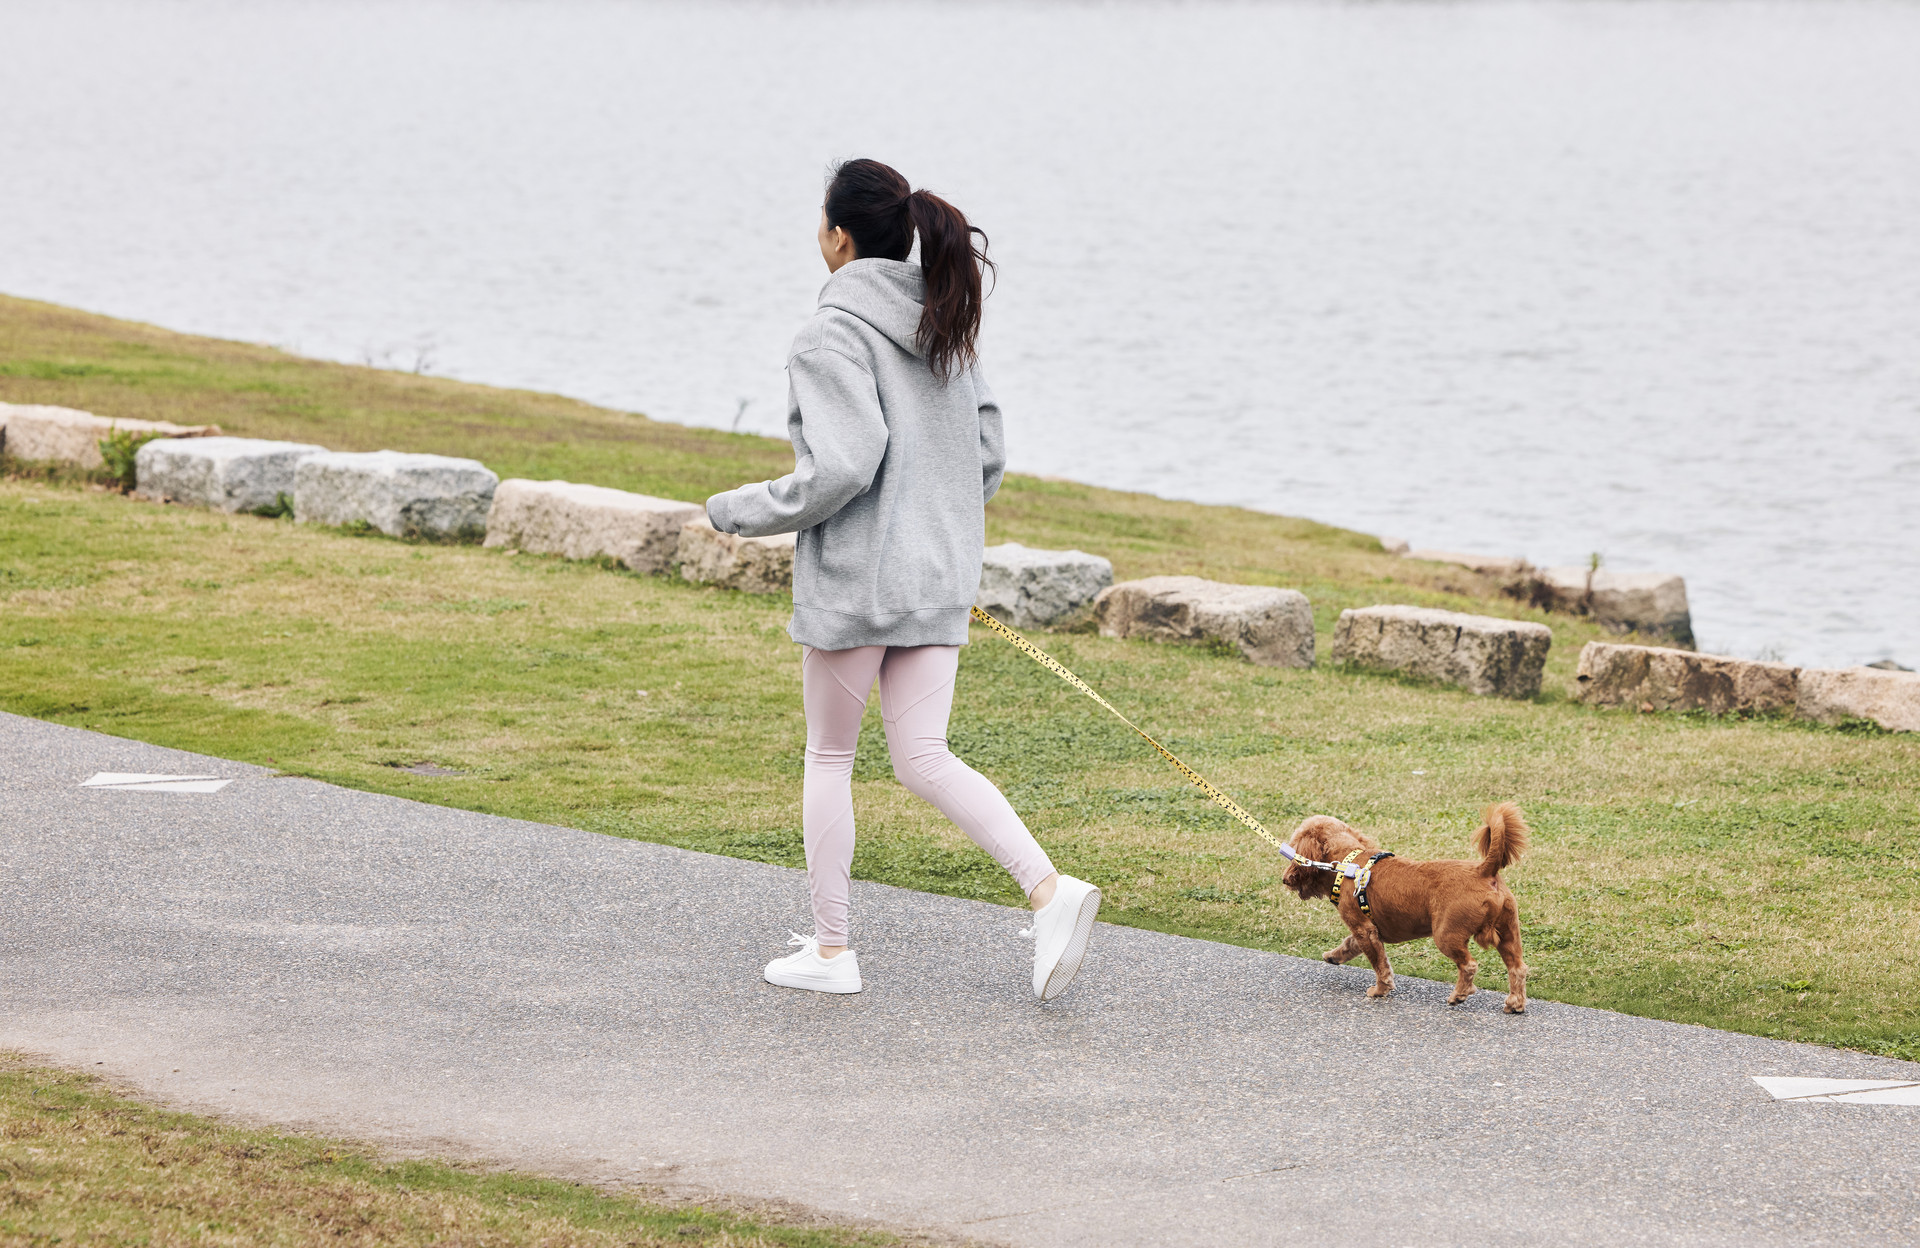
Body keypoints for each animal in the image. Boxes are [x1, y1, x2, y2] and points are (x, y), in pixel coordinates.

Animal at [1282, 802, 1536, 1006]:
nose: (1285, 879)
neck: (1347, 861)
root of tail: (1484, 870)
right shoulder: (1367, 931)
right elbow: (1350, 944)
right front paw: (1334, 956)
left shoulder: (1364, 929)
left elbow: (1380, 965)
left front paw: (1379, 990)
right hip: (1508, 932)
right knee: (1518, 968)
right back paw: (1515, 1003)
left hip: (1446, 935)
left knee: (1469, 965)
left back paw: (1459, 995)